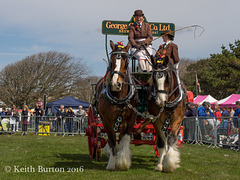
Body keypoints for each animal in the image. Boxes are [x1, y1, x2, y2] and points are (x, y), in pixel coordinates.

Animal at [94, 40, 138, 170]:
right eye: (111, 62)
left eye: (126, 62)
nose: (115, 84)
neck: (119, 97)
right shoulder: (106, 119)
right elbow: (112, 139)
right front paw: (112, 163)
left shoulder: (130, 118)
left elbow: (124, 138)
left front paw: (123, 162)